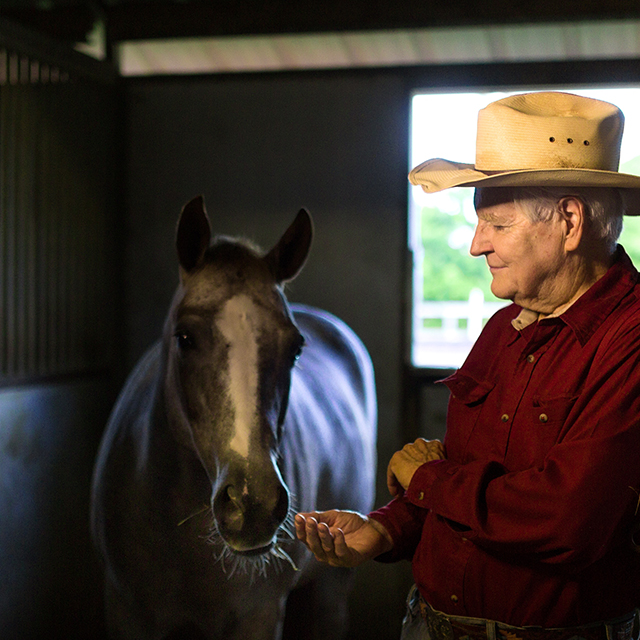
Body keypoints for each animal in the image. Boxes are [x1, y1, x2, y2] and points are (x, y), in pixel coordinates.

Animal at [92, 196, 378, 640]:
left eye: (296, 348)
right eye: (184, 337)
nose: (252, 503)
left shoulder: (258, 616)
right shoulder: (126, 612)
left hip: (332, 590)